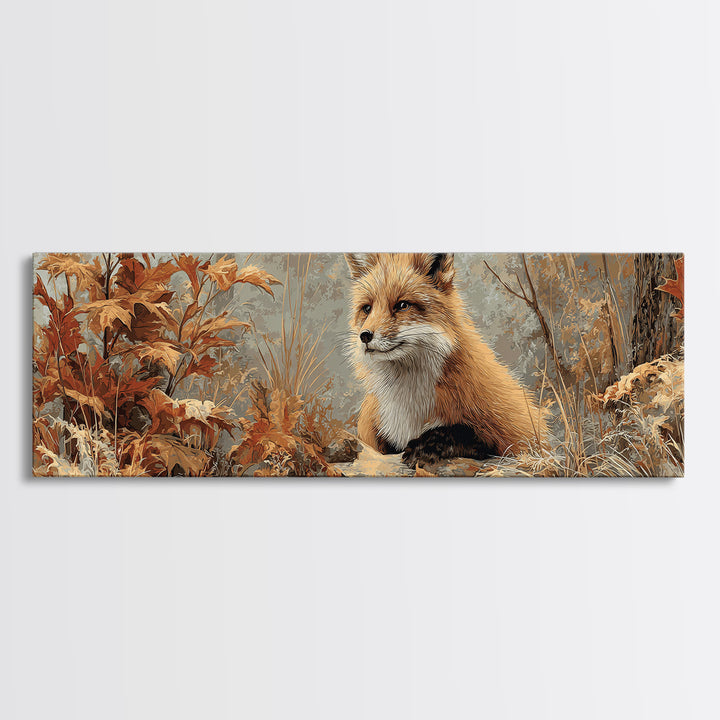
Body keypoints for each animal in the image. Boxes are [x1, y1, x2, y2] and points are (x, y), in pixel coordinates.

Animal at [345, 252, 547, 468]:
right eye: (367, 308)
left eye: (402, 305)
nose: (365, 336)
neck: (409, 403)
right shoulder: (372, 435)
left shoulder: (515, 433)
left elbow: (461, 432)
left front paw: (424, 447)